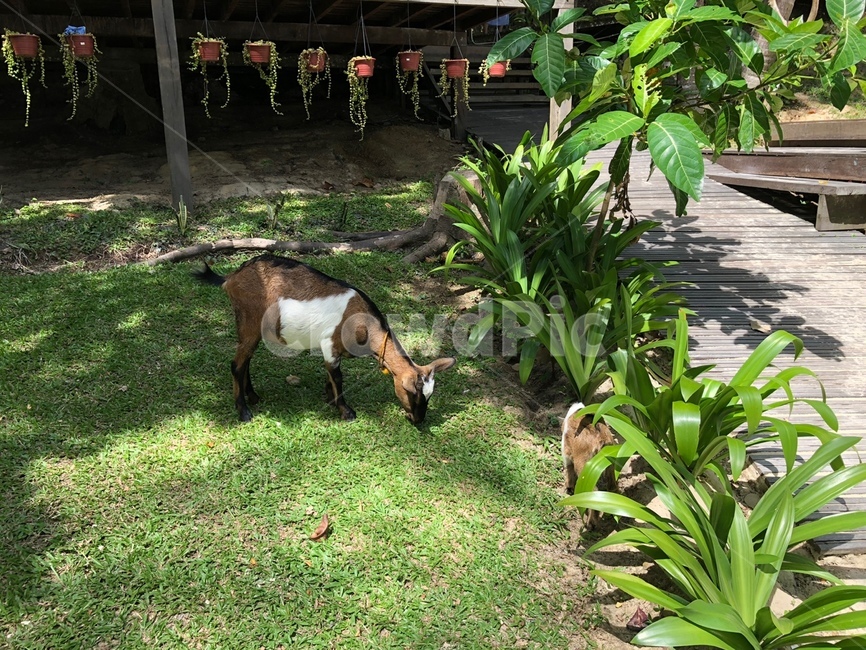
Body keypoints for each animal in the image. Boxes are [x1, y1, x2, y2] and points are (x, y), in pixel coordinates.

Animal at [194, 254, 455, 424]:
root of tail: (231, 277)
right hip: (249, 321)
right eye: (413, 393)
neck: (362, 322)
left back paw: (253, 396)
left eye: (430, 395)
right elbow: (337, 376)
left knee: (245, 360)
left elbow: (331, 376)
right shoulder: (329, 344)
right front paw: (346, 411)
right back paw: (243, 411)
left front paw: (330, 399)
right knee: (237, 364)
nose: (418, 420)